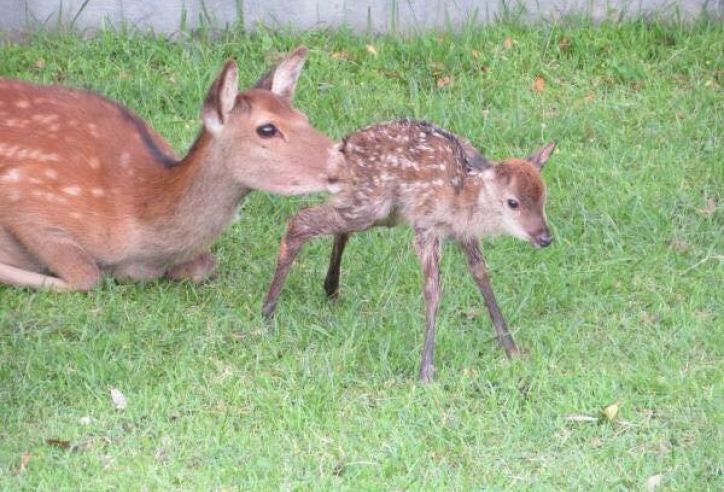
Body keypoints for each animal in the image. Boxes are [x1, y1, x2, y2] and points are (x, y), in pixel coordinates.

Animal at [0, 46, 340, 290]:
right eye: (267, 129)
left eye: (304, 117)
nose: (340, 160)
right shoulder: (26, 200)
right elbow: (87, 277)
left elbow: (204, 265)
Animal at [264, 119, 556, 380]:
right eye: (512, 202)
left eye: (543, 196)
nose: (545, 237)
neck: (460, 197)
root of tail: (343, 146)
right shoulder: (426, 226)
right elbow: (432, 289)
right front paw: (425, 371)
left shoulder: (464, 234)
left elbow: (481, 275)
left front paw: (512, 349)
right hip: (372, 204)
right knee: (300, 220)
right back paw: (267, 313)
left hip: (380, 211)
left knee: (337, 226)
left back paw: (330, 288)